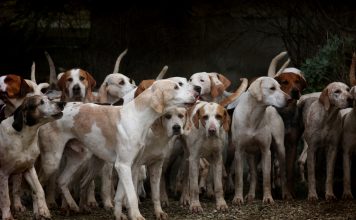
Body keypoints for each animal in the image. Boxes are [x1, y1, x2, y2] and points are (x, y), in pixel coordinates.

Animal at [37, 79, 199, 220]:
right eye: (176, 87)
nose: (197, 93)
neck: (137, 117)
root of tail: (51, 113)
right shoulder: (123, 165)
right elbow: (132, 196)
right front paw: (137, 216)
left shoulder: (129, 166)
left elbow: (120, 195)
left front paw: (118, 215)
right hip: (52, 161)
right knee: (38, 184)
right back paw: (42, 211)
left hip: (79, 158)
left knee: (62, 181)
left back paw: (74, 206)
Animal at [231, 77, 292, 205]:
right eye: (272, 88)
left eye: (280, 87)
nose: (290, 99)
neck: (253, 116)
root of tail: (272, 108)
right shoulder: (239, 152)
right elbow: (239, 178)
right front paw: (237, 198)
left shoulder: (266, 151)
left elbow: (266, 177)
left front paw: (268, 198)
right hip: (250, 155)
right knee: (253, 175)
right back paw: (250, 195)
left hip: (280, 148)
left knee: (283, 174)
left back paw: (286, 194)